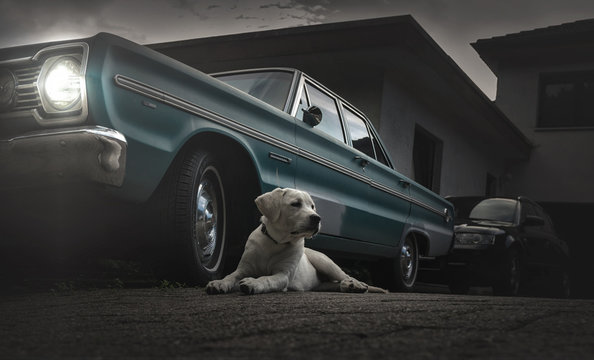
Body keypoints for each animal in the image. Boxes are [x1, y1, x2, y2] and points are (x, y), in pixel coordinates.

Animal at [206, 188, 386, 296]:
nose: (317, 218)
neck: (275, 242)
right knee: (332, 284)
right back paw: (346, 287)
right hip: (319, 282)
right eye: (295, 204)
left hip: (325, 262)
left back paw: (356, 284)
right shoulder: (243, 268)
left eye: (312, 206)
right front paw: (219, 283)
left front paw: (252, 283)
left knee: (345, 275)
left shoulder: (283, 275)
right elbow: (230, 275)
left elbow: (266, 279)